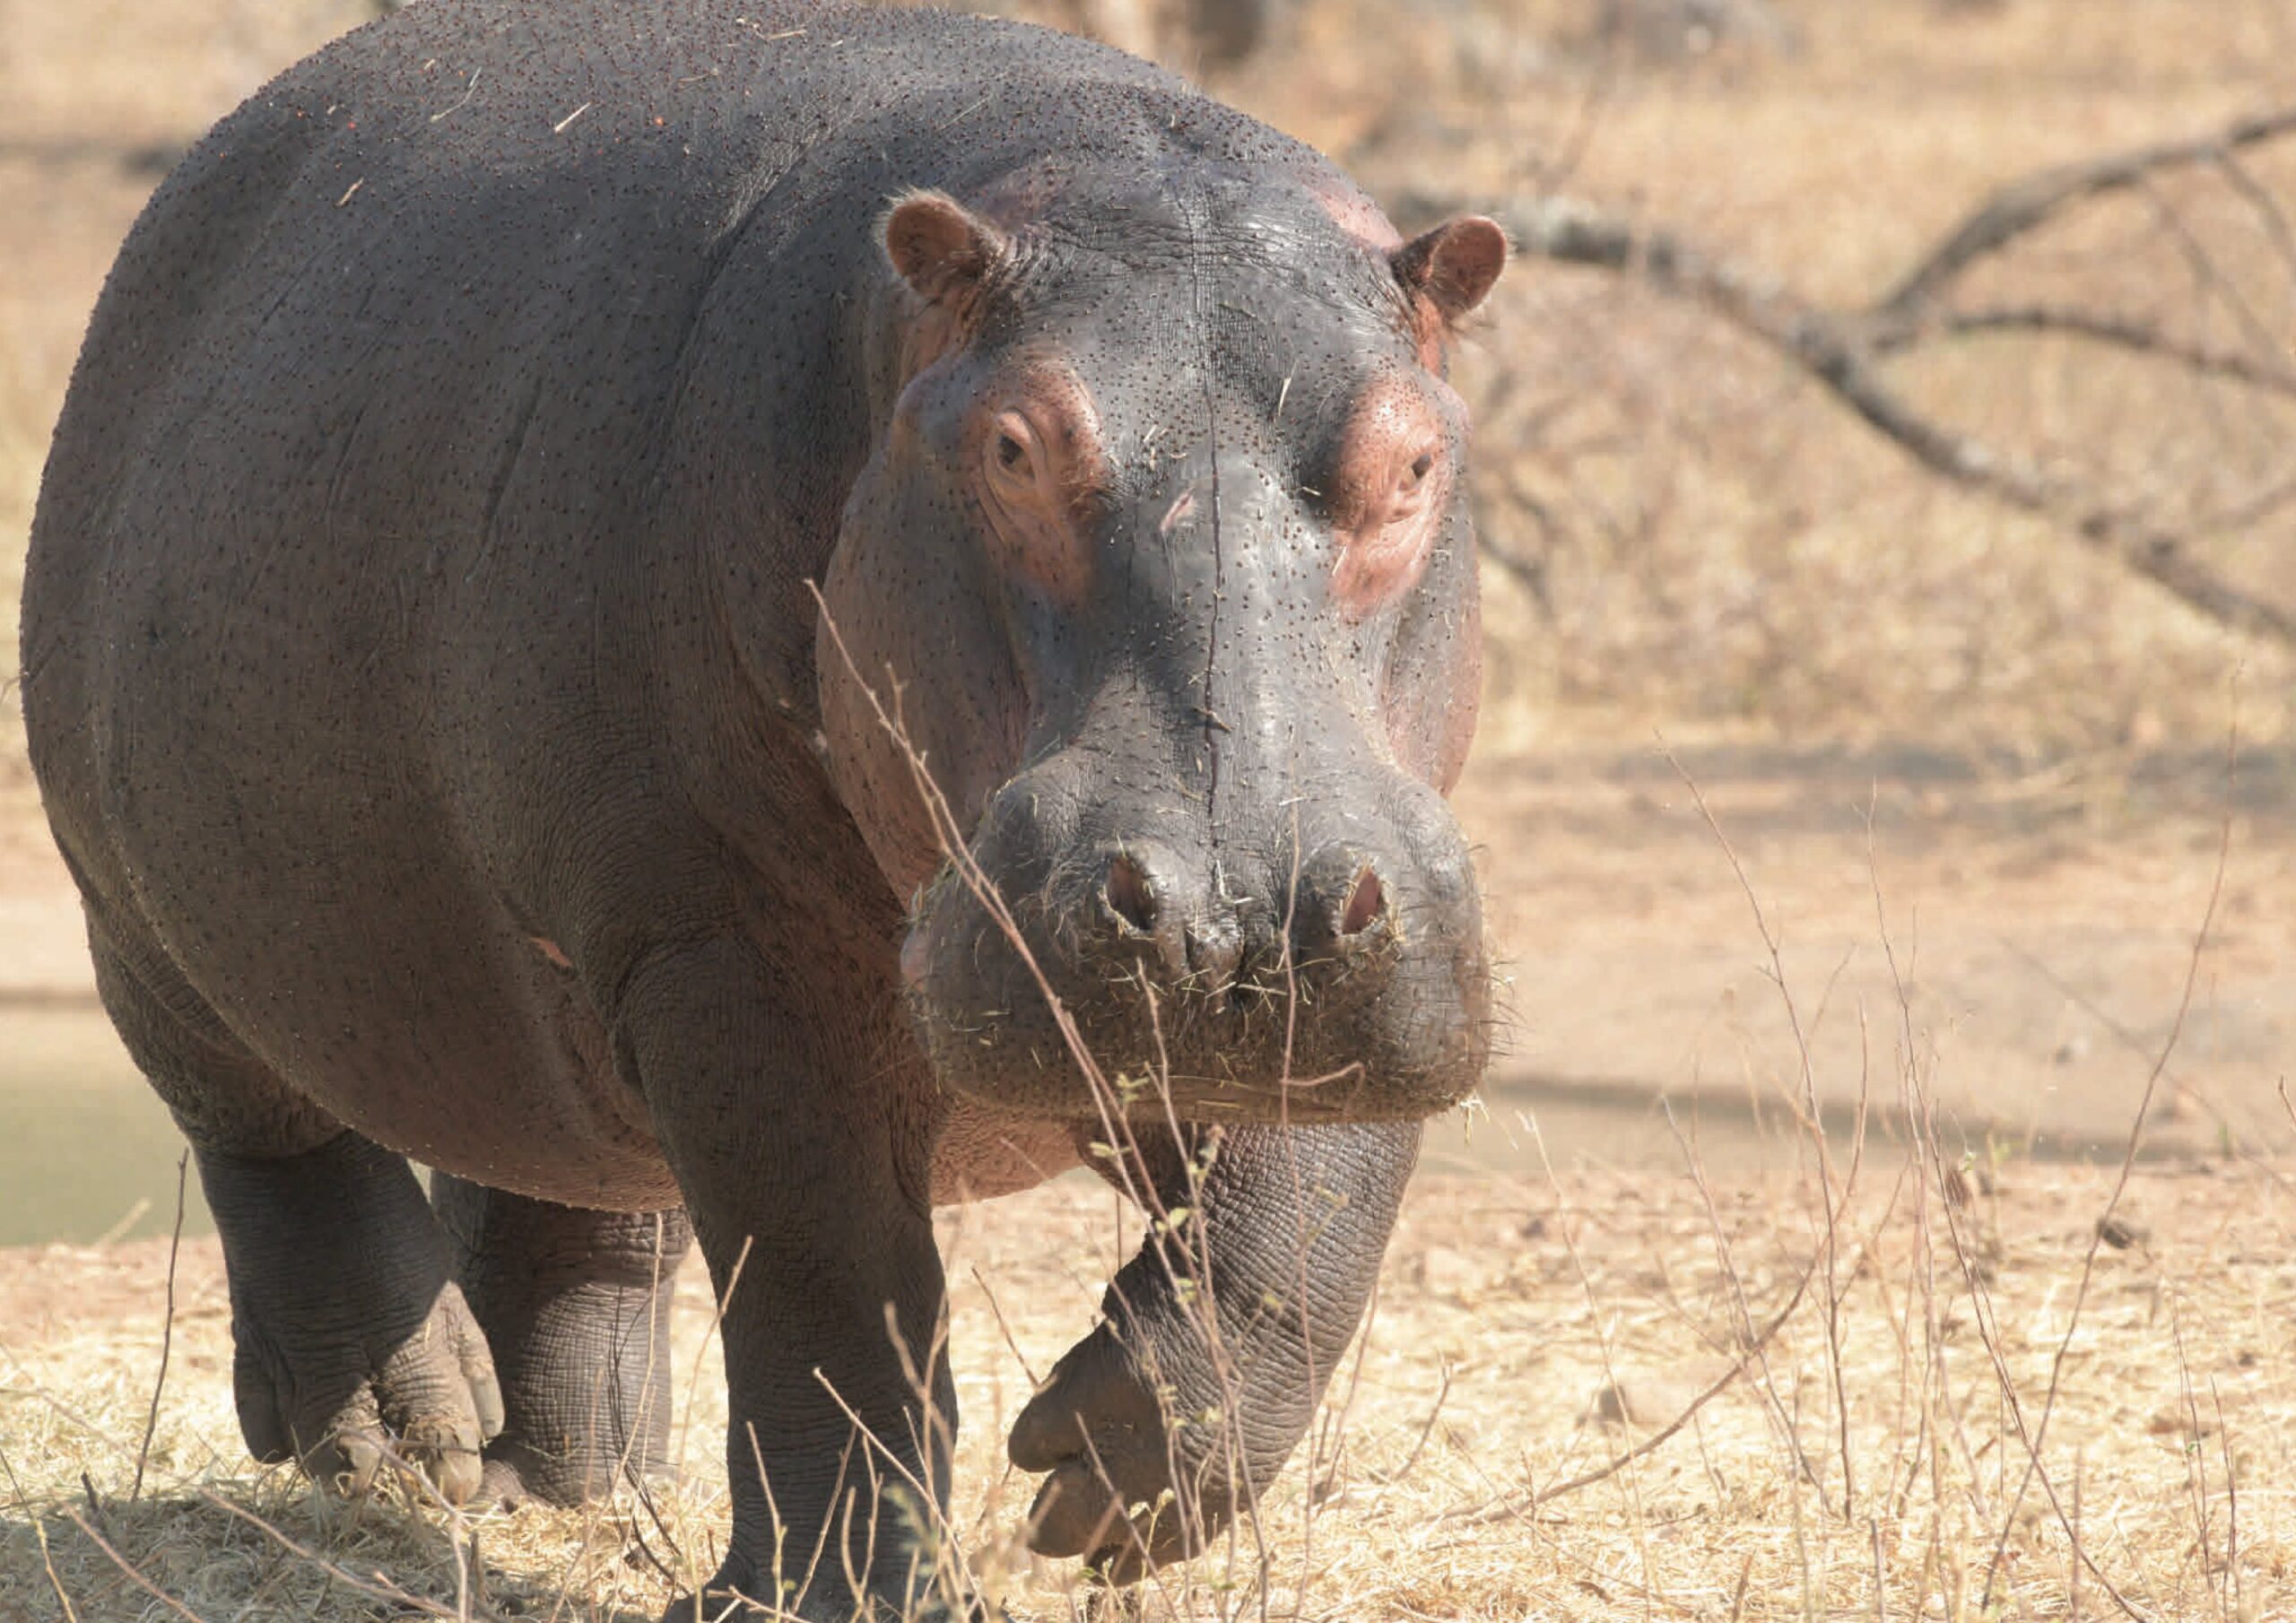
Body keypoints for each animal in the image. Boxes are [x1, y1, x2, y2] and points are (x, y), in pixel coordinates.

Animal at [18, 2, 1503, 1616]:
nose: (1233, 916)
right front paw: (825, 1595)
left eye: (1417, 457)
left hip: (575, 971)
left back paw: (566, 1476)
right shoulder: (728, 956)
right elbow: (824, 1286)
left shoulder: (1374, 938)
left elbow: (1307, 1219)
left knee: (575, 1197)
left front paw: (1104, 1486)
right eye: (1012, 445)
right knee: (274, 1141)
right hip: (144, 907)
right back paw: (397, 1443)